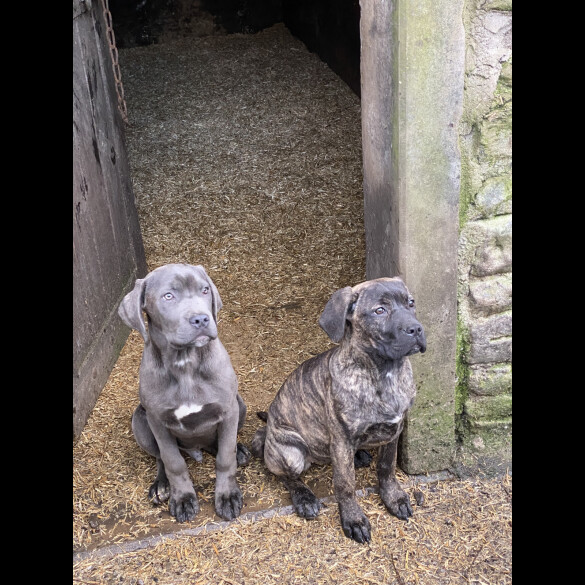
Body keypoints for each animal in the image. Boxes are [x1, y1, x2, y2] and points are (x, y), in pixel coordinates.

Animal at [118, 262, 249, 524]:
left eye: (205, 290)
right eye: (169, 296)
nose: (201, 319)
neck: (185, 362)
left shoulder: (228, 410)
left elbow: (225, 457)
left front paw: (227, 496)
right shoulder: (157, 420)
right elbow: (173, 462)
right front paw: (183, 499)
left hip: (240, 404)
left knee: (221, 445)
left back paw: (239, 450)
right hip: (140, 421)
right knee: (161, 457)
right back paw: (161, 485)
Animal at [250, 278, 424, 544]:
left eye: (411, 303)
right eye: (379, 310)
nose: (416, 329)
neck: (384, 373)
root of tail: (268, 431)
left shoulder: (394, 430)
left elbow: (387, 466)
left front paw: (393, 497)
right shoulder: (341, 439)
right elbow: (345, 484)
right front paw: (353, 519)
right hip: (291, 452)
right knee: (285, 475)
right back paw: (305, 498)